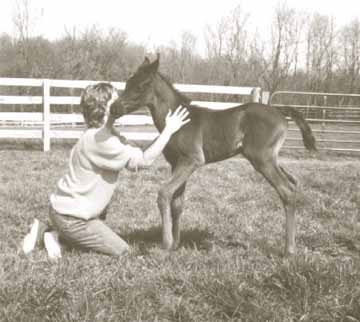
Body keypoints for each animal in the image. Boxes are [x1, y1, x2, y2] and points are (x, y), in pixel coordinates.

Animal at [114, 56, 316, 256]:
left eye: (142, 85)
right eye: (128, 83)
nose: (115, 108)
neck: (178, 122)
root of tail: (279, 111)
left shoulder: (192, 160)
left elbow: (164, 193)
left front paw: (166, 244)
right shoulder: (176, 163)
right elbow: (177, 203)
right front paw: (176, 244)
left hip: (262, 160)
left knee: (286, 191)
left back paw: (289, 250)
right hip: (271, 159)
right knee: (293, 182)